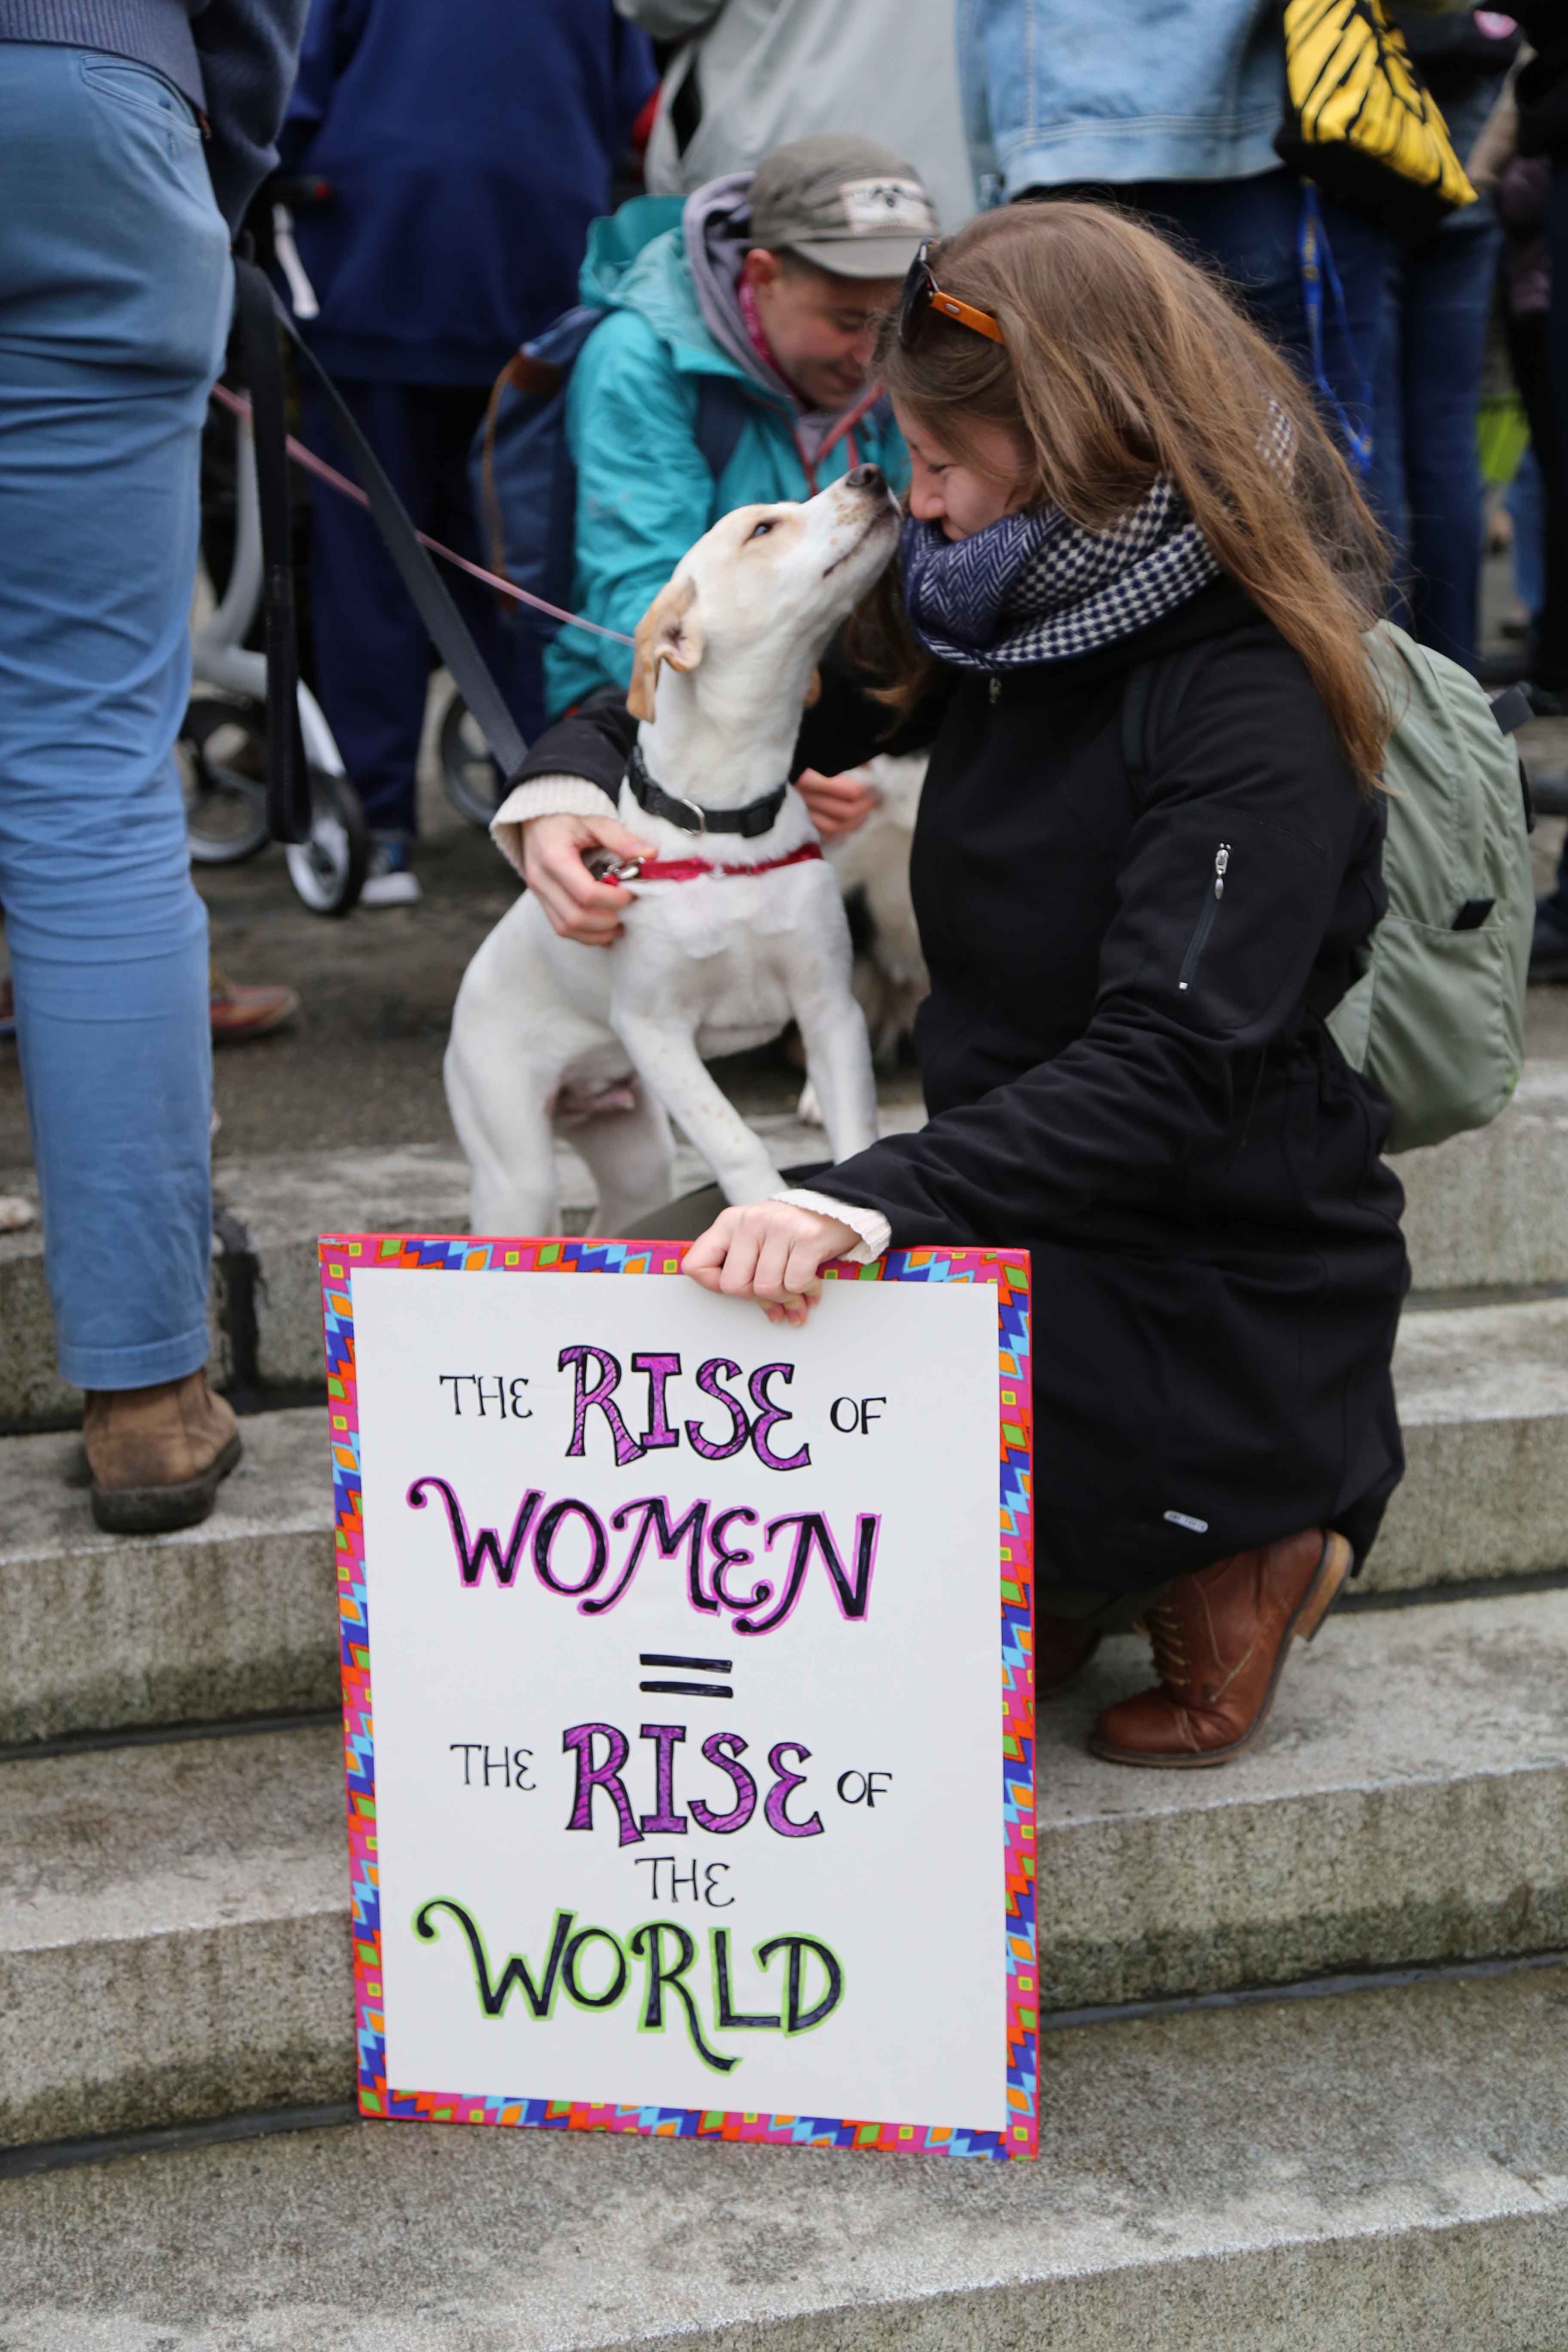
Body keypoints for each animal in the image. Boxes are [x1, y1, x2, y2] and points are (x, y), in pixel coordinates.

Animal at [445, 467, 900, 1236]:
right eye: (762, 529)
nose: (872, 475)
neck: (723, 827)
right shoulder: (654, 1031)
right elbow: (735, 1139)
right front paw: (759, 1211)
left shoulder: (829, 1007)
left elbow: (857, 1137)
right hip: (517, 1173)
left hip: (634, 1154)